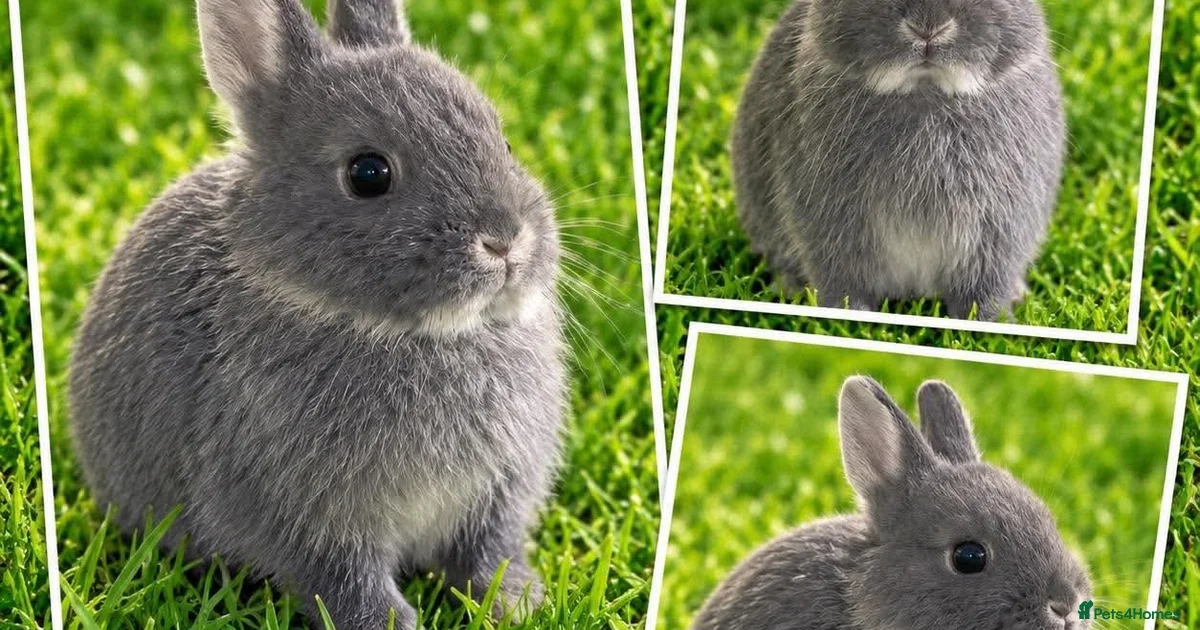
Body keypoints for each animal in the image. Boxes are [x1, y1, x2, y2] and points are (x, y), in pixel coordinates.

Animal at [67, 1, 566, 628]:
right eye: (368, 173)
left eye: (503, 141)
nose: (505, 241)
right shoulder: (307, 514)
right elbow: (340, 576)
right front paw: (392, 622)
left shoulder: (496, 492)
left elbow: (486, 553)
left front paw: (515, 601)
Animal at [731, 0, 1066, 321]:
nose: (928, 28)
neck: (925, 89)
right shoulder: (830, 216)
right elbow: (841, 276)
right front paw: (848, 316)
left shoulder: (999, 224)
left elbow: (986, 283)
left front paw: (988, 321)